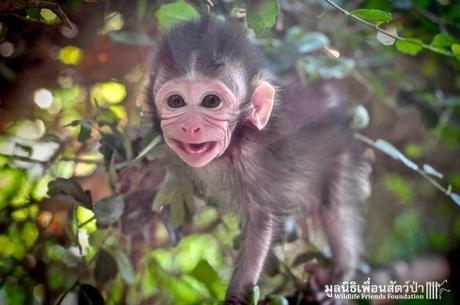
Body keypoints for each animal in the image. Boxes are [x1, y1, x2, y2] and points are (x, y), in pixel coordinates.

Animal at [146, 17, 372, 304]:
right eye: (176, 101)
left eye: (211, 101)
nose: (190, 127)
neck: (231, 146)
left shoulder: (253, 161)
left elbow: (261, 224)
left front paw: (235, 298)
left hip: (339, 150)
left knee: (336, 204)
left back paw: (341, 272)